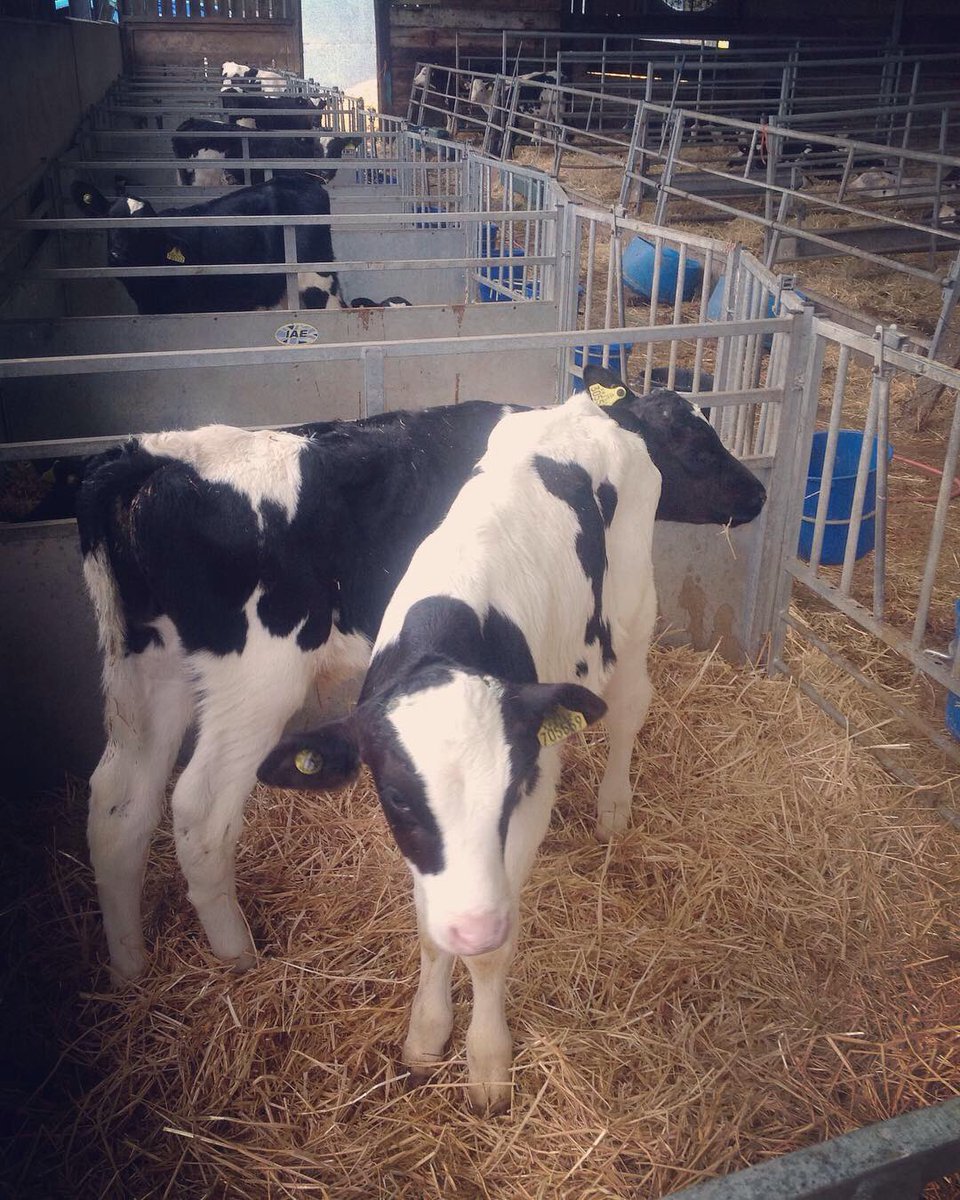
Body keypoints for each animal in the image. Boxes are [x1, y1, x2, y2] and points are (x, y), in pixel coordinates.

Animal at [78, 371, 765, 985]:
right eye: (699, 443)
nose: (758, 494)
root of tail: (149, 456)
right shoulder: (631, 604)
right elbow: (628, 708)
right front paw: (614, 811)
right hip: (256, 678)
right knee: (198, 810)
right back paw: (237, 953)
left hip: (148, 669)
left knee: (119, 803)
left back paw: (129, 968)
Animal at [258, 367, 762, 1111]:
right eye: (399, 801)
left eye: (509, 791)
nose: (758, 493)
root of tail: (598, 408)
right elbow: (431, 928)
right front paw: (427, 1031)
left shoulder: (532, 789)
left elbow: (494, 952)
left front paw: (487, 1060)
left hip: (634, 605)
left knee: (629, 705)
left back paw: (614, 805)